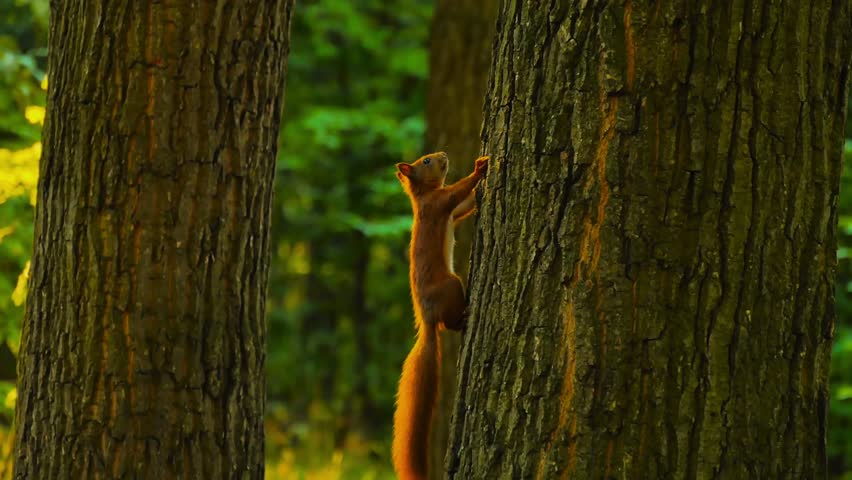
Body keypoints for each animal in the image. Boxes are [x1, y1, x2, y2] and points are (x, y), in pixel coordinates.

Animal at [392, 151, 488, 480]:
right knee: (451, 324)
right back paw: (465, 316)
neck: (423, 196)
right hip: (452, 286)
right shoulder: (439, 203)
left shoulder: (447, 208)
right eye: (425, 161)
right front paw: (480, 168)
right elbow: (457, 194)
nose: (444, 154)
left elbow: (462, 208)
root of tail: (428, 319)